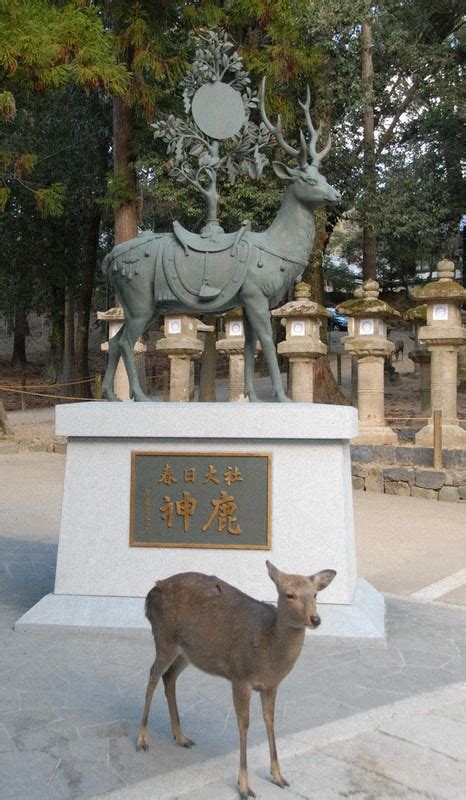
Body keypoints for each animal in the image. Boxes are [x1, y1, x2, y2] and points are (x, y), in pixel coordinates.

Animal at [135, 560, 334, 796]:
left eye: (315, 594)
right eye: (289, 595)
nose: (315, 619)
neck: (268, 650)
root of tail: (151, 593)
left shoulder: (271, 685)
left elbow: (270, 721)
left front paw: (279, 776)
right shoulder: (240, 676)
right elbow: (244, 724)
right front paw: (245, 786)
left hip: (187, 653)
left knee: (169, 677)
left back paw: (181, 736)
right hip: (164, 638)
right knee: (153, 675)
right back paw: (142, 740)